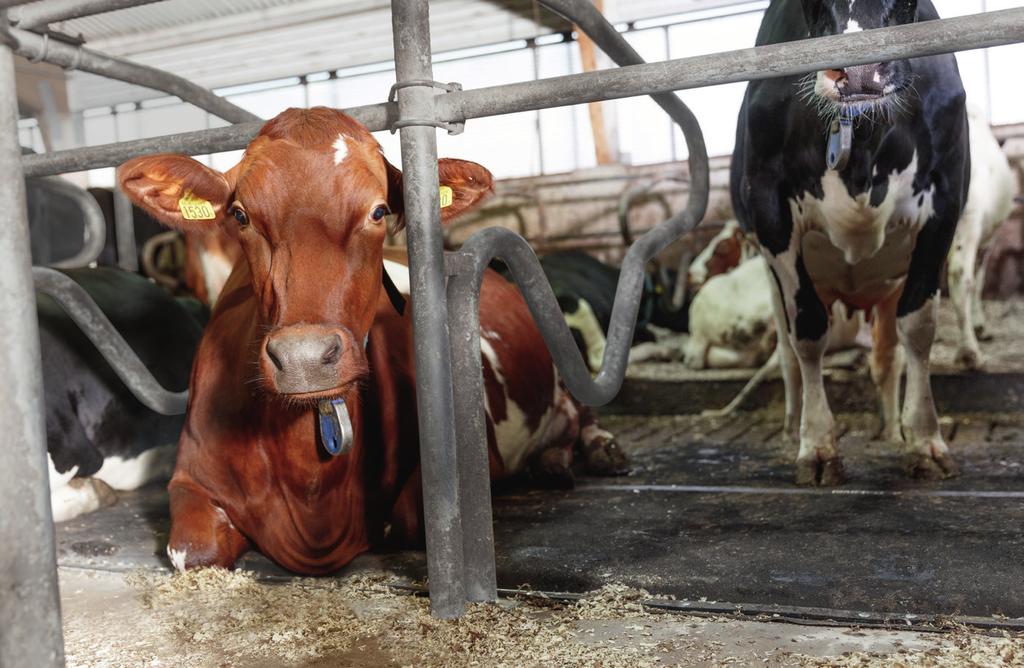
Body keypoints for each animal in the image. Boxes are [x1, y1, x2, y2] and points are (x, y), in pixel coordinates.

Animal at [733, 2, 970, 487]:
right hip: (771, 277)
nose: (861, 72)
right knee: (788, 353)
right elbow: (808, 334)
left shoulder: (945, 198)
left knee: (886, 358)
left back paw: (893, 430)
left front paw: (924, 440)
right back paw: (792, 427)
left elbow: (919, 327)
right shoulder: (769, 208)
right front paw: (818, 447)